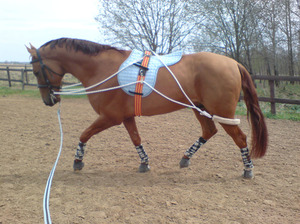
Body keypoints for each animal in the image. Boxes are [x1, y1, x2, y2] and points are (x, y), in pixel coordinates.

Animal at [27, 38, 268, 178]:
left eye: (36, 71)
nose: (48, 100)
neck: (102, 68)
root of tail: (233, 63)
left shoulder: (110, 117)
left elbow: (84, 134)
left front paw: (78, 161)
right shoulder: (125, 117)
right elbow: (136, 139)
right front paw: (144, 163)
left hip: (221, 112)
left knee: (240, 138)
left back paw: (248, 169)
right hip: (199, 108)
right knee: (209, 131)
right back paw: (185, 158)